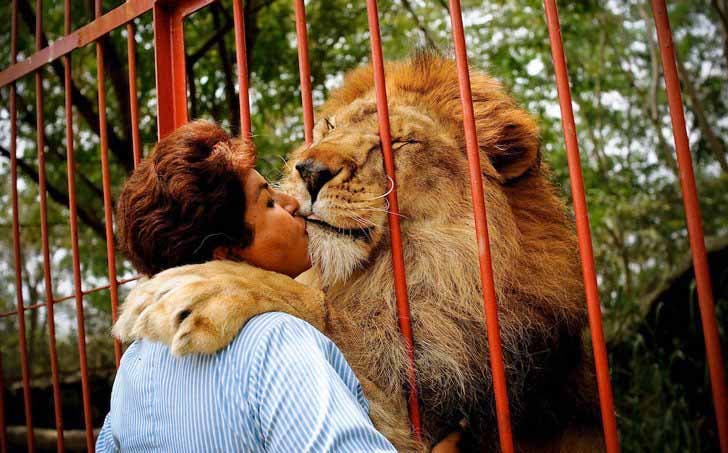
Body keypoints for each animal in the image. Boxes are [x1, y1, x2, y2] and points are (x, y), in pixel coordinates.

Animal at [114, 54, 604, 450]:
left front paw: (202, 286)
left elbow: (322, 310)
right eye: (331, 127)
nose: (310, 171)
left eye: (401, 142)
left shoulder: (444, 401)